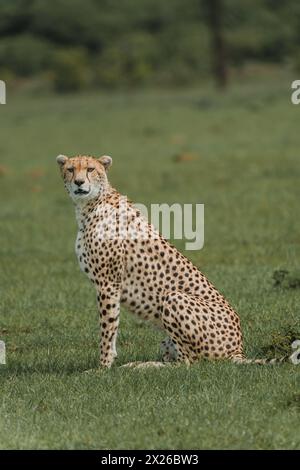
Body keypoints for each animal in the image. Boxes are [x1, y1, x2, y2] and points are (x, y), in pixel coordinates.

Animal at [55, 156, 296, 370]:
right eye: (70, 169)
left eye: (90, 169)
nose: (79, 183)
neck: (90, 205)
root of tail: (237, 349)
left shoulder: (108, 283)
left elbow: (107, 328)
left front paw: (101, 368)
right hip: (167, 338)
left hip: (173, 298)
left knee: (189, 363)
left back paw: (143, 366)